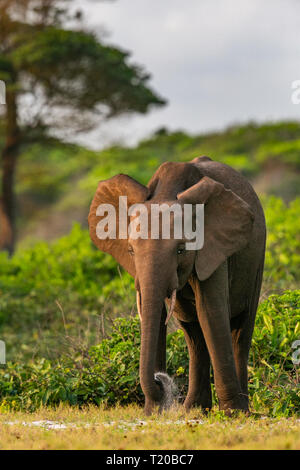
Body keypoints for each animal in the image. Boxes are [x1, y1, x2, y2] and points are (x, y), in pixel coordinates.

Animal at [88, 157, 266, 414]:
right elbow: (160, 315)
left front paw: (233, 414)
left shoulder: (214, 248)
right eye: (130, 251)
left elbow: (210, 311)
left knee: (241, 329)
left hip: (257, 260)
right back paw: (194, 409)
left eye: (181, 249)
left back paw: (240, 409)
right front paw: (153, 412)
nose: (161, 380)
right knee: (194, 333)